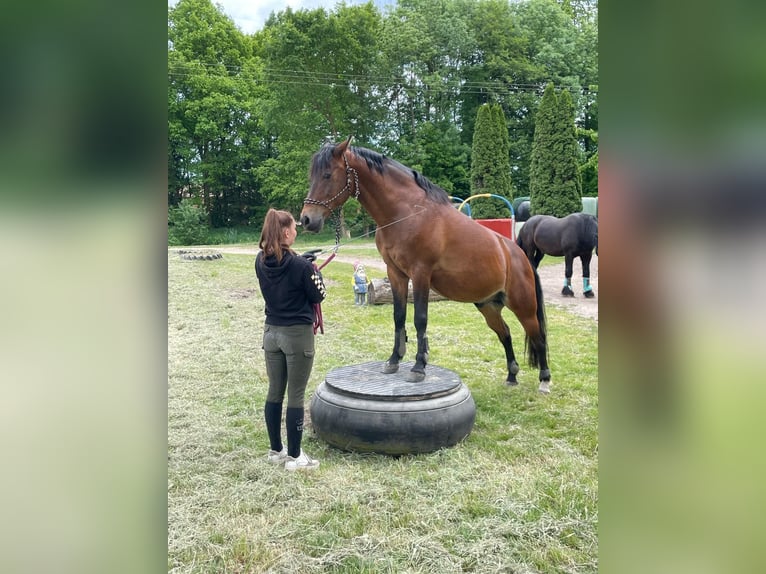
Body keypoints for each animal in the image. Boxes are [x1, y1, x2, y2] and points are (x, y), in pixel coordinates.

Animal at [300, 137, 552, 393]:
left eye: (328, 175)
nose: (307, 219)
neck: (407, 213)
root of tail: (519, 256)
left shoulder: (420, 274)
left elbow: (420, 319)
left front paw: (419, 367)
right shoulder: (396, 274)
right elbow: (399, 316)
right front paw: (394, 360)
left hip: (523, 306)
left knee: (538, 336)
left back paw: (544, 379)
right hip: (489, 306)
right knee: (506, 334)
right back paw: (512, 375)